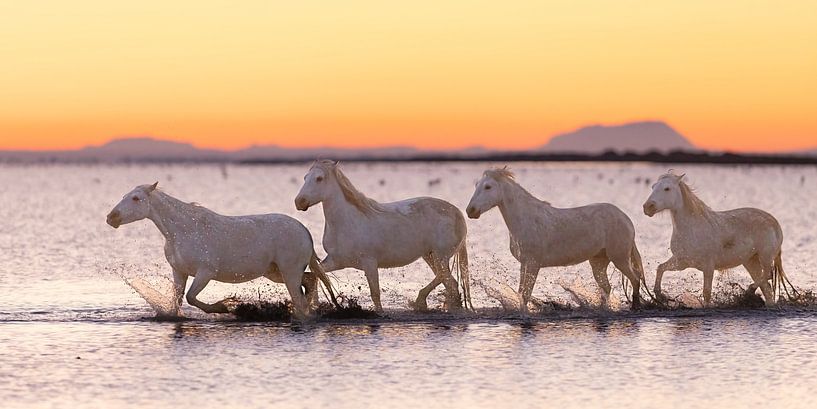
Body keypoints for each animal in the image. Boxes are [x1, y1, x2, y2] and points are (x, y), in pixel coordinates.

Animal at [106, 182, 338, 319]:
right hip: (275, 272)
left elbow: (191, 297)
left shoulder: (205, 272)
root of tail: (303, 230)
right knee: (310, 280)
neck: (183, 230)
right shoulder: (179, 272)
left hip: (289, 272)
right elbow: (178, 300)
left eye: (136, 198)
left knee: (300, 297)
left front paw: (224, 306)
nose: (111, 217)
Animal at [294, 160, 472, 312]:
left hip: (441, 256)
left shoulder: (369, 263)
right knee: (450, 282)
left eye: (319, 178)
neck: (347, 222)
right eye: (305, 177)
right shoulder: (337, 261)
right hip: (430, 256)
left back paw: (420, 302)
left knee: (445, 277)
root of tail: (457, 213)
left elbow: (375, 294)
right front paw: (314, 303)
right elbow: (317, 272)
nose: (299, 202)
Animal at [465, 167, 647, 313]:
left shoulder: (533, 263)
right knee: (607, 288)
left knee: (635, 278)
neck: (526, 219)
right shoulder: (524, 263)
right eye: (476, 185)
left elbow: (525, 294)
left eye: (488, 187)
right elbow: (521, 293)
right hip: (599, 261)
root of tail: (626, 219)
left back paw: (635, 307)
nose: (470, 211)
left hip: (620, 258)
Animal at [643, 171, 793, 306]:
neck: (692, 229)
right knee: (766, 287)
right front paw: (659, 295)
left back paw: (748, 292)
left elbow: (706, 292)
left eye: (667, 188)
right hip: (751, 261)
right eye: (653, 187)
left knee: (767, 275)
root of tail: (773, 221)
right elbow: (660, 268)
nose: (647, 207)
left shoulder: (708, 266)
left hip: (765, 257)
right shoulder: (681, 262)